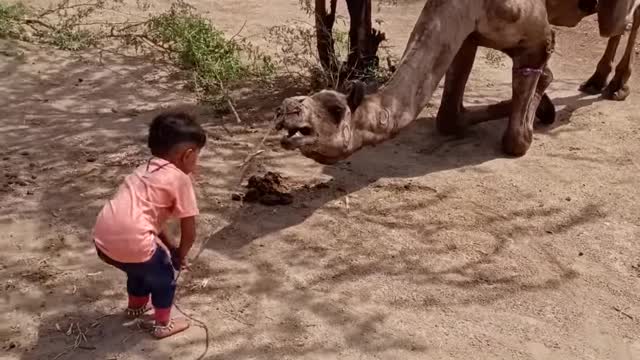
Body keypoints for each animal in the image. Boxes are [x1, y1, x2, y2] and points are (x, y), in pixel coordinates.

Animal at [272, 0, 624, 165]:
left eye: (336, 109)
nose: (285, 110)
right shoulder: (467, 34)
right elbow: (448, 118)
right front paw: (546, 105)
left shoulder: (538, 42)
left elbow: (517, 140)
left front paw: (543, 108)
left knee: (619, 23)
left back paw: (611, 85)